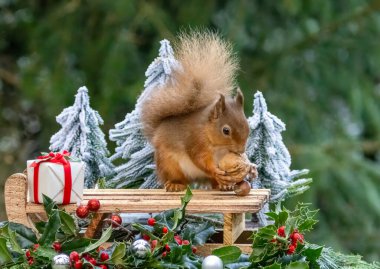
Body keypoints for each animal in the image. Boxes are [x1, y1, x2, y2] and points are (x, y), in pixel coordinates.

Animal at [141, 31, 251, 191]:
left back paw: (222, 185)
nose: (241, 150)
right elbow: (200, 159)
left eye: (248, 127)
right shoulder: (195, 141)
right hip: (169, 164)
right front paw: (215, 170)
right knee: (178, 178)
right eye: (226, 131)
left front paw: (249, 166)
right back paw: (175, 184)